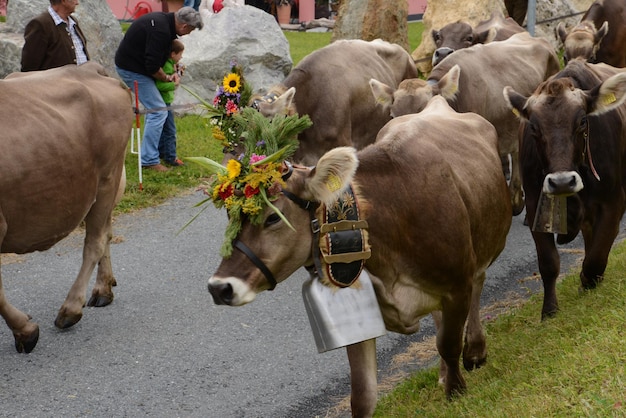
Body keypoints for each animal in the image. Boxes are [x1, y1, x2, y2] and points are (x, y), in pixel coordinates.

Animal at [0, 62, 134, 352]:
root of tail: (89, 68)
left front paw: (25, 331)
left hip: (108, 176)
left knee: (96, 240)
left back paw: (71, 308)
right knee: (106, 233)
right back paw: (103, 289)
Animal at [207, 96, 510, 416]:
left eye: (272, 218)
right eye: (230, 215)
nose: (219, 287)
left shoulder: (457, 285)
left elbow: (449, 344)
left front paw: (456, 389)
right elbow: (363, 396)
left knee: (478, 284)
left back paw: (475, 350)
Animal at [500, 58, 626, 318]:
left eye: (583, 121)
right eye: (534, 127)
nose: (561, 181)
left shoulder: (613, 202)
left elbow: (596, 258)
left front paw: (587, 283)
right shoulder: (535, 204)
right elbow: (548, 263)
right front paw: (549, 311)